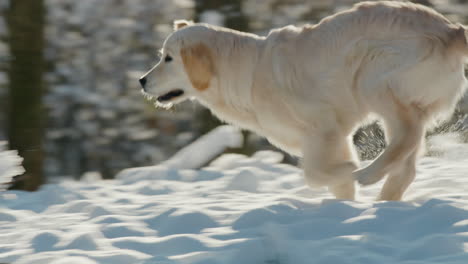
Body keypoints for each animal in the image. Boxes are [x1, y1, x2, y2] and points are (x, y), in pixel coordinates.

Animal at [140, 1, 468, 200]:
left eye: (168, 59)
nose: (141, 81)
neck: (246, 73)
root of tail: (452, 29)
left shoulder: (324, 129)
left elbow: (314, 174)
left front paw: (349, 170)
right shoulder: (332, 137)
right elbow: (325, 177)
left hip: (372, 77)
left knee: (407, 137)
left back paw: (369, 174)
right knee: (408, 160)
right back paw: (385, 199)